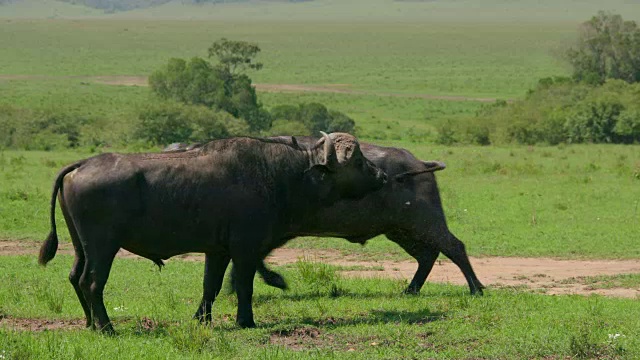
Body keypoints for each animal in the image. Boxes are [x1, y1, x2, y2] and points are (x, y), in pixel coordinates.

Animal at [41, 134, 390, 334]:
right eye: (359, 160)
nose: (383, 176)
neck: (284, 174)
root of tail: (81, 164)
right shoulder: (245, 250)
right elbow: (245, 287)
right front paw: (245, 321)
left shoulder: (218, 251)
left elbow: (210, 286)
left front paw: (201, 320)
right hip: (103, 247)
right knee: (91, 282)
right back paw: (107, 327)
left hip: (81, 246)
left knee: (74, 277)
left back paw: (89, 324)